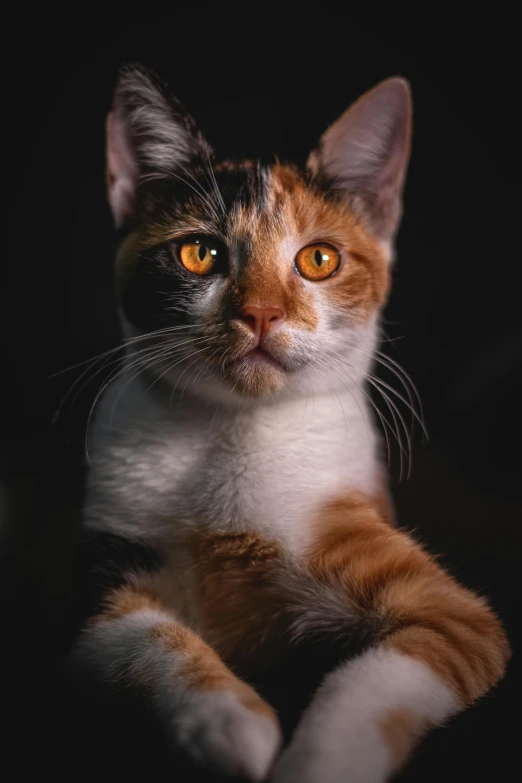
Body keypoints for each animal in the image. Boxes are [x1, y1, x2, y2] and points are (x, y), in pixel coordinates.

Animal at [69, 64, 508, 780]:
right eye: (198, 254)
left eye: (320, 259)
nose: (261, 312)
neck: (234, 436)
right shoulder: (104, 580)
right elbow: (147, 638)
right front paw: (229, 724)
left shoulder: (452, 617)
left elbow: (380, 675)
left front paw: (314, 760)